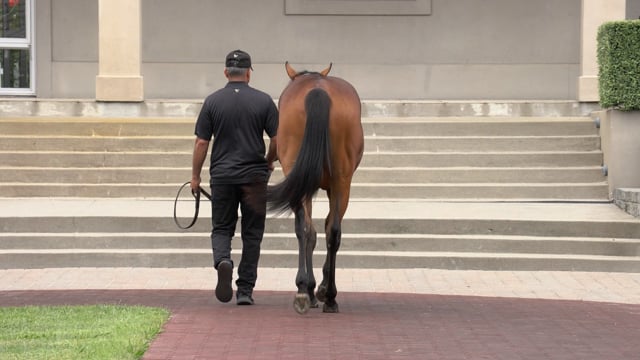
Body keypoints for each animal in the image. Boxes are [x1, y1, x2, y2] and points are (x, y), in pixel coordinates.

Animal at [268, 61, 362, 312]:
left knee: (308, 228)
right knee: (333, 231)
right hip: (341, 181)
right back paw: (328, 296)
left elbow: (309, 232)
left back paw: (308, 292)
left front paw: (309, 288)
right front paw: (316, 288)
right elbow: (323, 228)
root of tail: (318, 90)